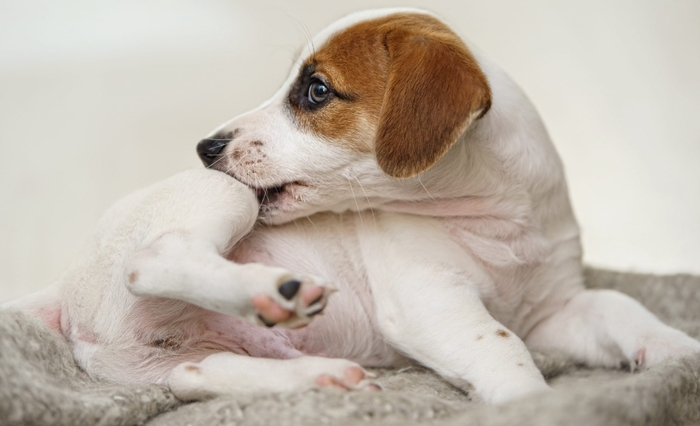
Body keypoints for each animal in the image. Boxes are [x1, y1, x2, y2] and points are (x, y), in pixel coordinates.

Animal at [6, 8, 700, 404]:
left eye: (316, 91)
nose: (205, 147)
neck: (498, 221)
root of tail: (64, 288)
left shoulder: (552, 312)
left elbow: (620, 306)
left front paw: (677, 353)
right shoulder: (429, 301)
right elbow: (501, 347)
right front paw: (535, 405)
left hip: (173, 359)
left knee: (197, 377)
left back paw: (319, 378)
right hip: (221, 199)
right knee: (153, 260)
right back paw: (273, 292)